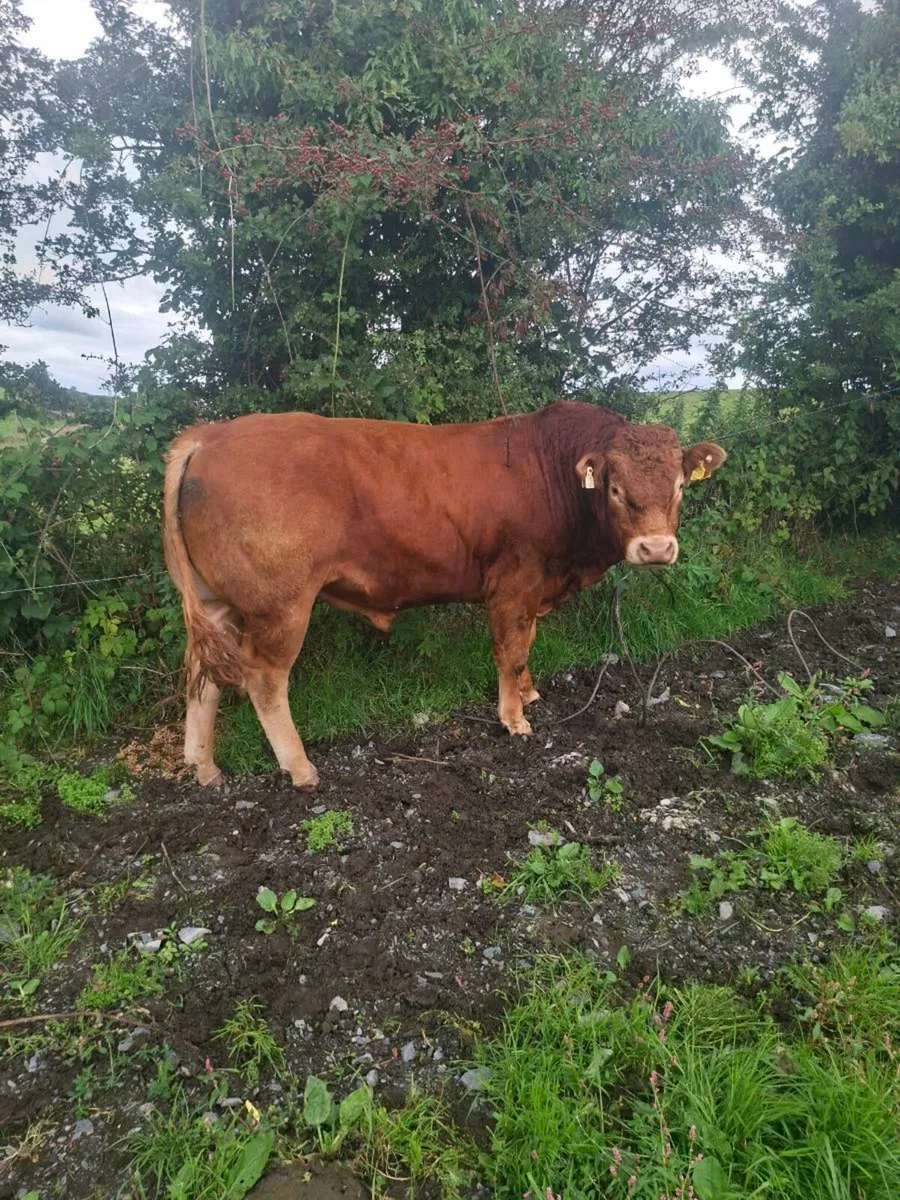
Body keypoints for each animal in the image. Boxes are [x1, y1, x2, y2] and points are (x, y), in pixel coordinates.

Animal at [163, 401, 725, 789]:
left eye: (680, 486)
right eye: (614, 489)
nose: (656, 548)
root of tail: (210, 435)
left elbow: (526, 647)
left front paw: (529, 694)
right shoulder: (513, 583)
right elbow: (510, 650)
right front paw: (515, 719)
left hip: (218, 603)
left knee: (202, 676)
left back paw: (205, 768)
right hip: (280, 606)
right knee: (264, 681)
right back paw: (301, 768)